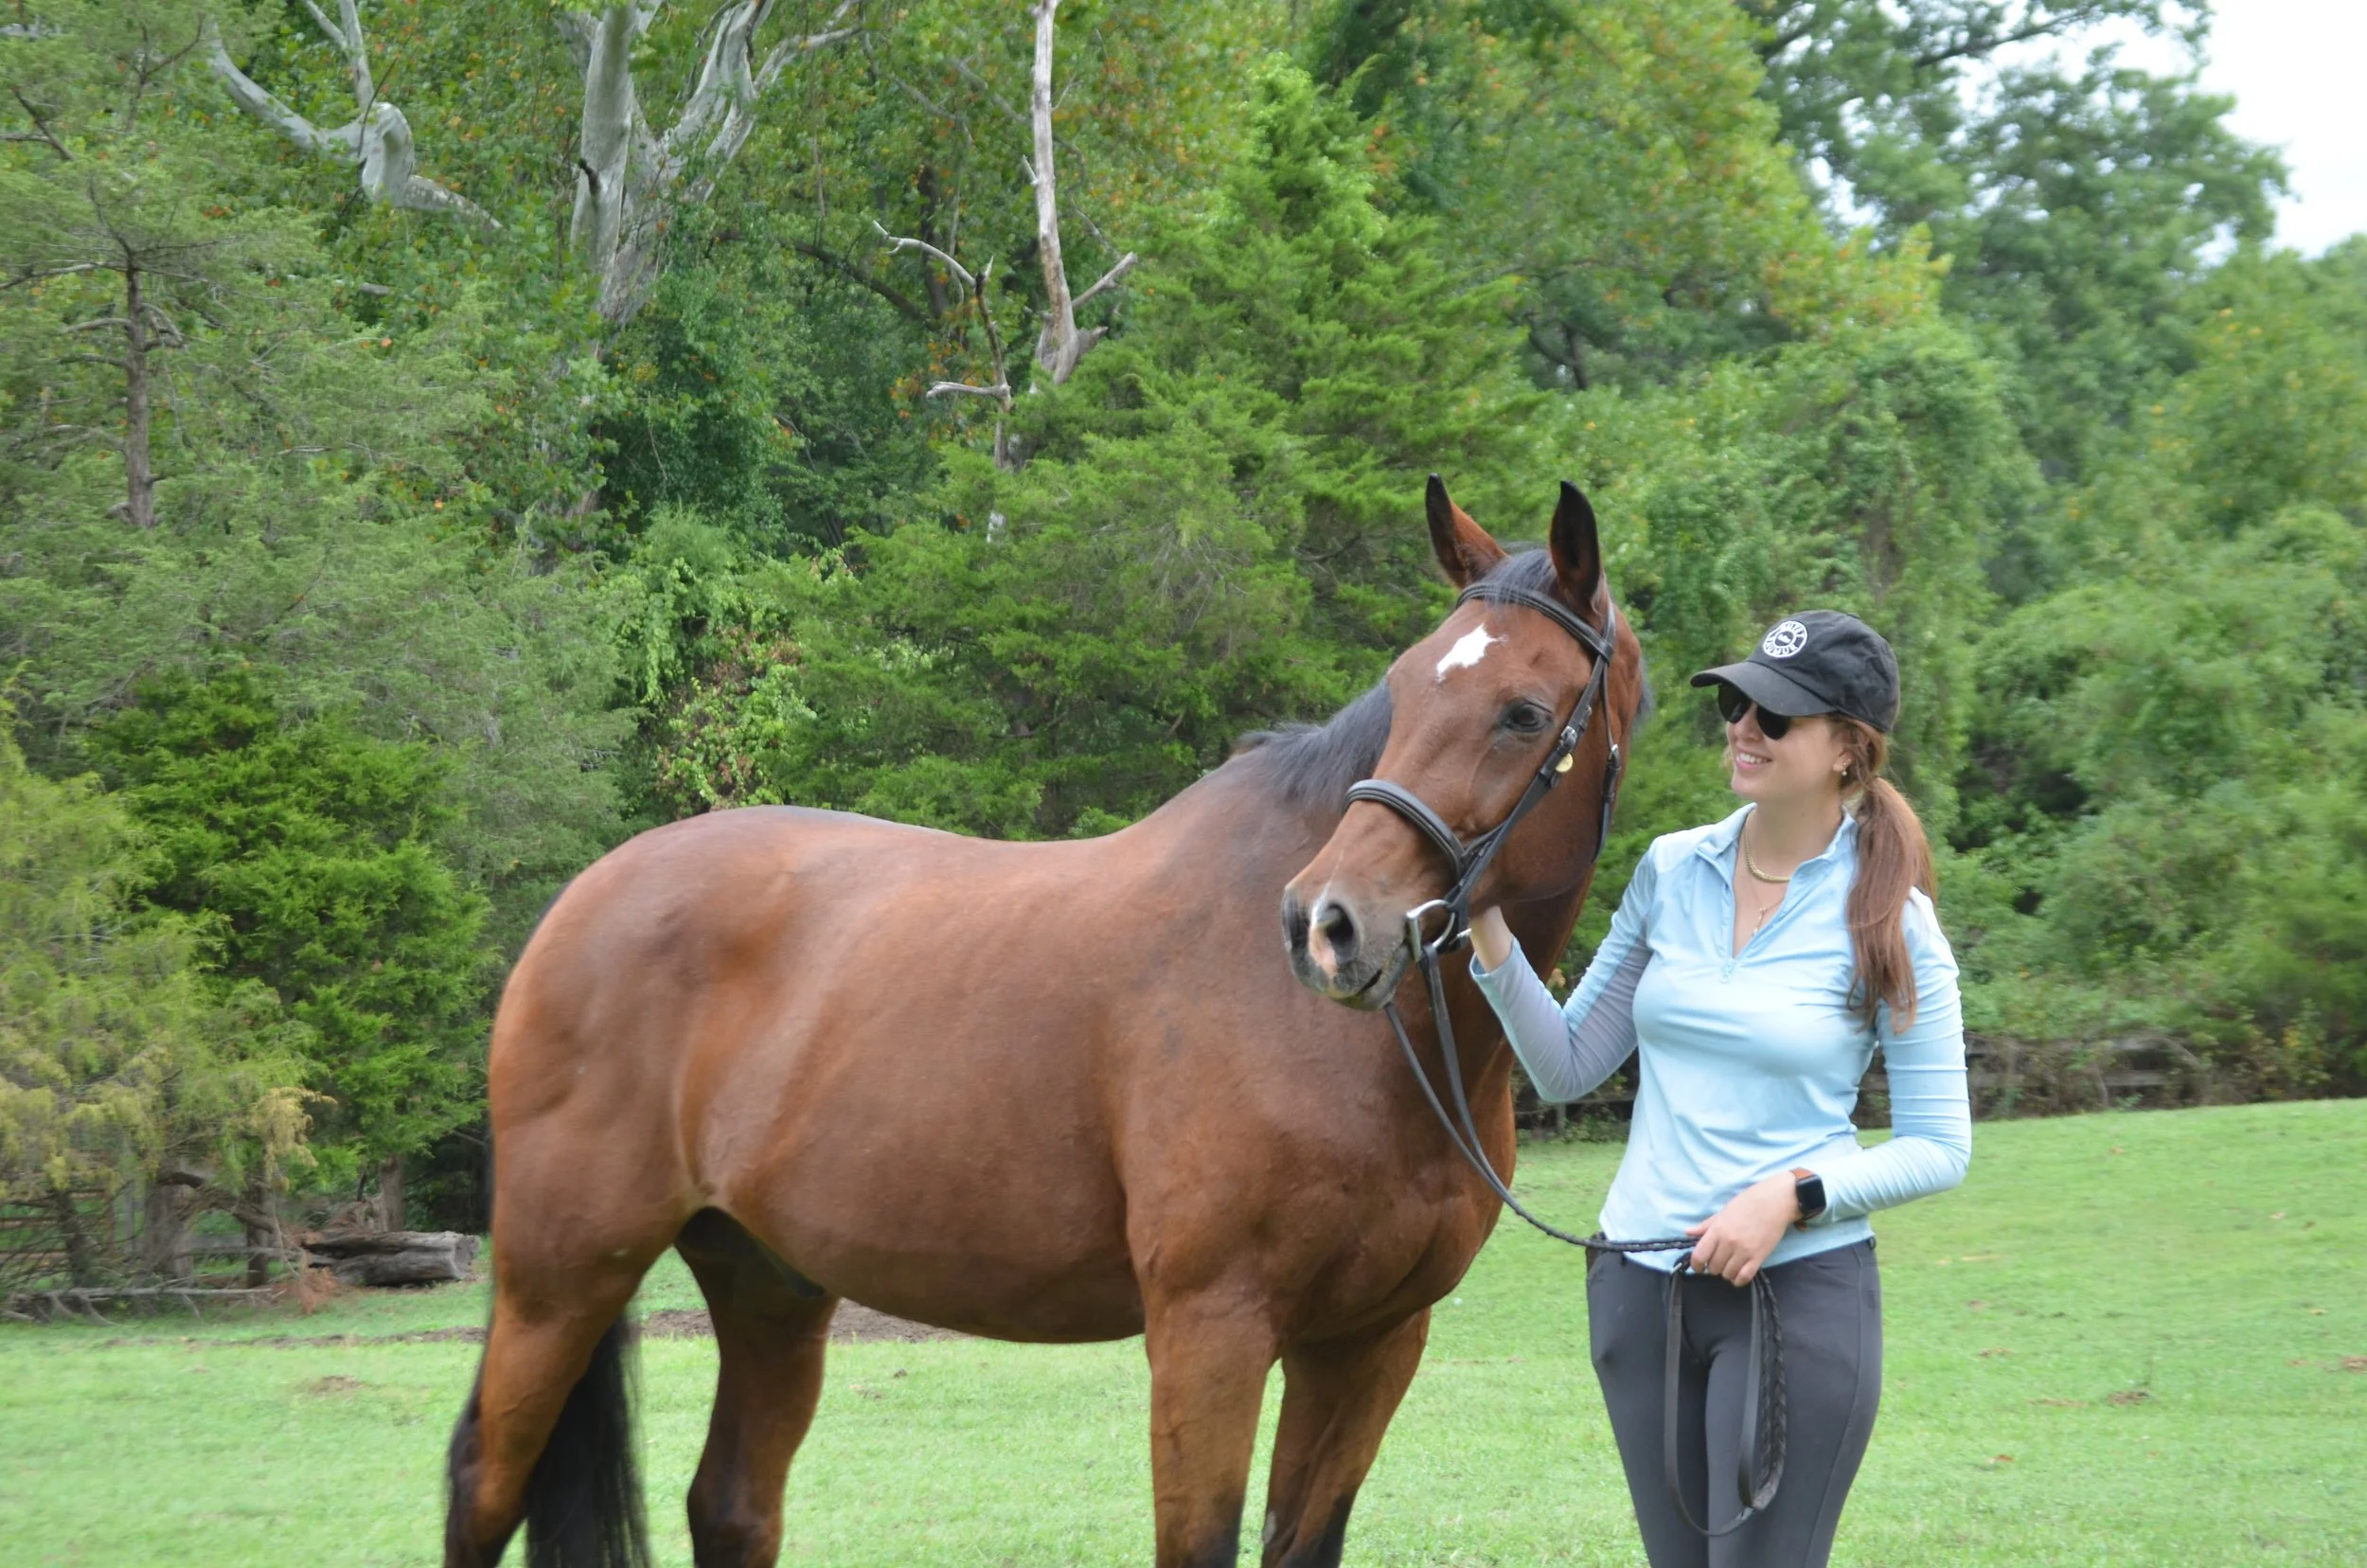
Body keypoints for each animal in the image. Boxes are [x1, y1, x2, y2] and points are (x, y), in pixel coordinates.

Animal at [443, 476, 1647, 1568]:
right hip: (559, 1281)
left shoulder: (1370, 1341)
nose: (1326, 925)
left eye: (1523, 713)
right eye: (1402, 689)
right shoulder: (1210, 1331)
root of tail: (582, 900)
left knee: (731, 1507)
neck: (1364, 1059)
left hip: (766, 1284)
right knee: (485, 1482)